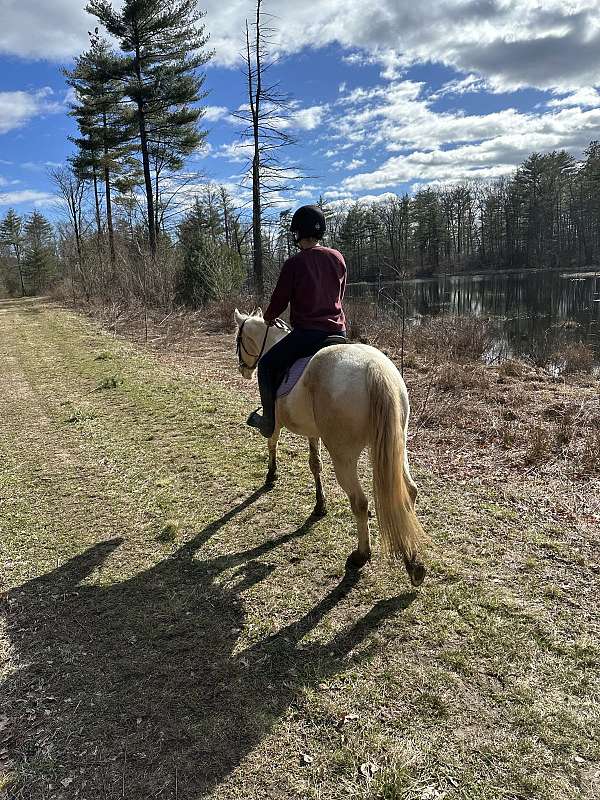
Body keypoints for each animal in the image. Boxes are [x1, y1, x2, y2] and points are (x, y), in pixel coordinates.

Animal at [233, 308, 426, 588]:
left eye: (239, 339)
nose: (243, 370)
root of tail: (373, 369)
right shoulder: (314, 433)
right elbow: (315, 465)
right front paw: (319, 505)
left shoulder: (275, 421)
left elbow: (272, 442)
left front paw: (271, 475)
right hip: (397, 446)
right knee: (409, 492)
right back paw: (414, 564)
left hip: (343, 456)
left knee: (360, 502)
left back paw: (361, 556)